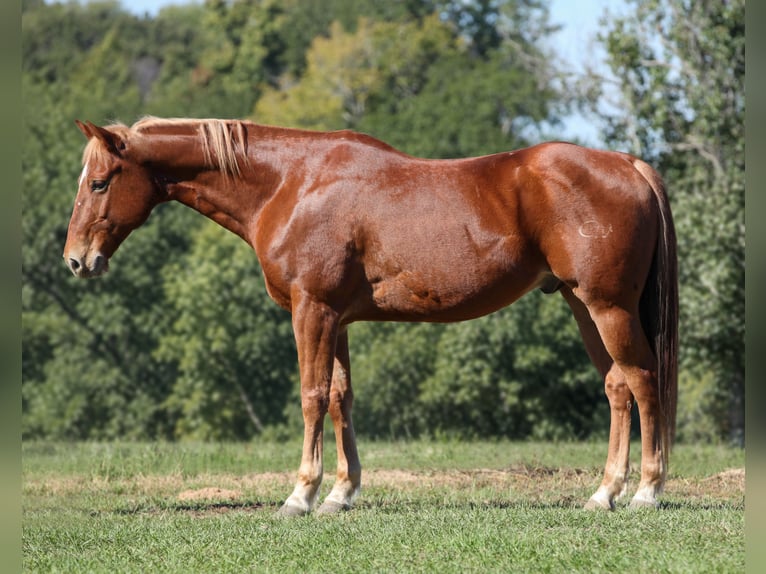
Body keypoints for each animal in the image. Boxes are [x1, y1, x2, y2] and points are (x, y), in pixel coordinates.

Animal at [64, 117, 677, 515]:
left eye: (99, 182)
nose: (76, 260)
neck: (292, 184)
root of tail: (629, 164)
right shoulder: (336, 319)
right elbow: (340, 398)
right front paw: (340, 493)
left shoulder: (312, 311)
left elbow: (312, 396)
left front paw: (301, 495)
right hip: (582, 305)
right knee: (617, 387)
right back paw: (604, 493)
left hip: (608, 307)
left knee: (644, 382)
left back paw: (646, 492)